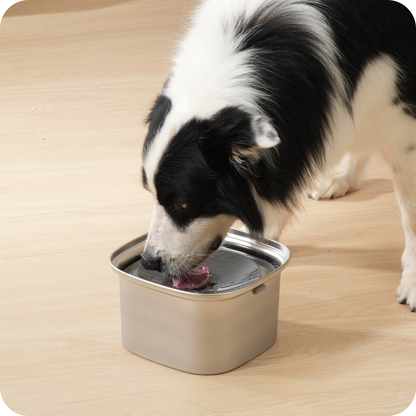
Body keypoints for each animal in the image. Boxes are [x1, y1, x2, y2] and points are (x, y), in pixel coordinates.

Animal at [139, 0, 416, 312]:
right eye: (151, 193)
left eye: (183, 205)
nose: (149, 262)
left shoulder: (402, 119)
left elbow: (411, 212)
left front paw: (413, 282)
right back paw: (342, 178)